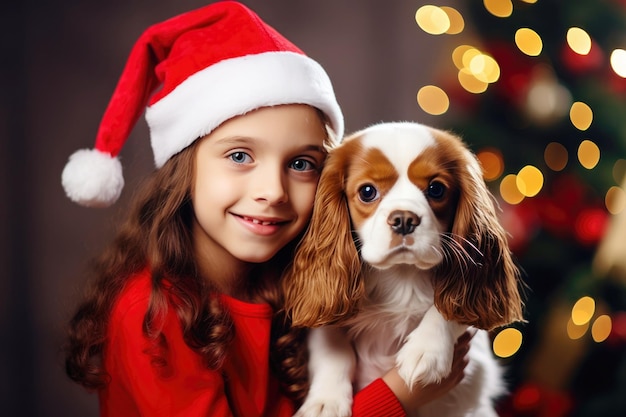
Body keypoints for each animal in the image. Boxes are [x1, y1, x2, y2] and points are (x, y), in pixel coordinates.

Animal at [282, 122, 520, 414]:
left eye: (436, 189)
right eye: (367, 191)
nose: (404, 219)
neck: (402, 276)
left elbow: (451, 308)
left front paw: (426, 350)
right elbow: (333, 348)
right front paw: (325, 402)